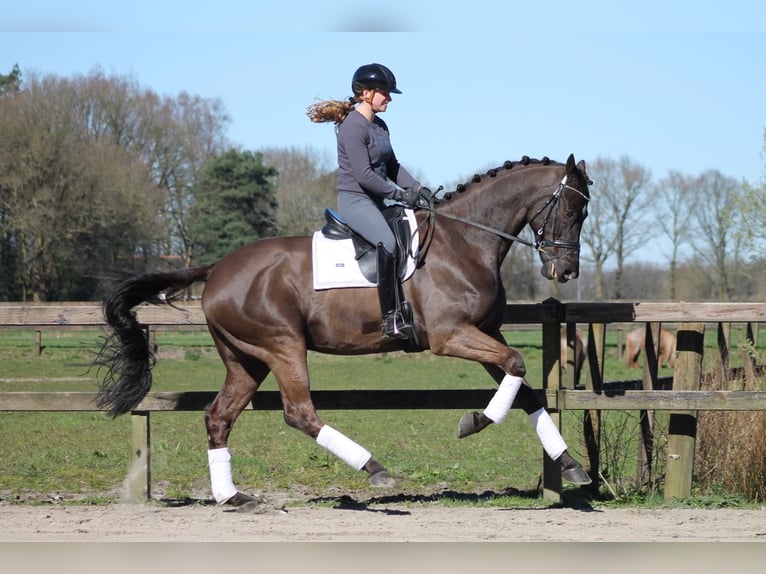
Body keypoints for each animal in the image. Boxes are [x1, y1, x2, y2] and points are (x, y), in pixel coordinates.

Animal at [95, 154, 593, 510]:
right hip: (283, 347)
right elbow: (517, 367)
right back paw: (374, 468)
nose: (566, 270)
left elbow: (524, 388)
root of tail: (216, 269)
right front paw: (474, 422)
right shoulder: (451, 336)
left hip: (247, 359)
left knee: (219, 416)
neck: (464, 242)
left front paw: (570, 465)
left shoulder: (487, 333)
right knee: (298, 413)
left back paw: (234, 497)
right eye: (572, 209)